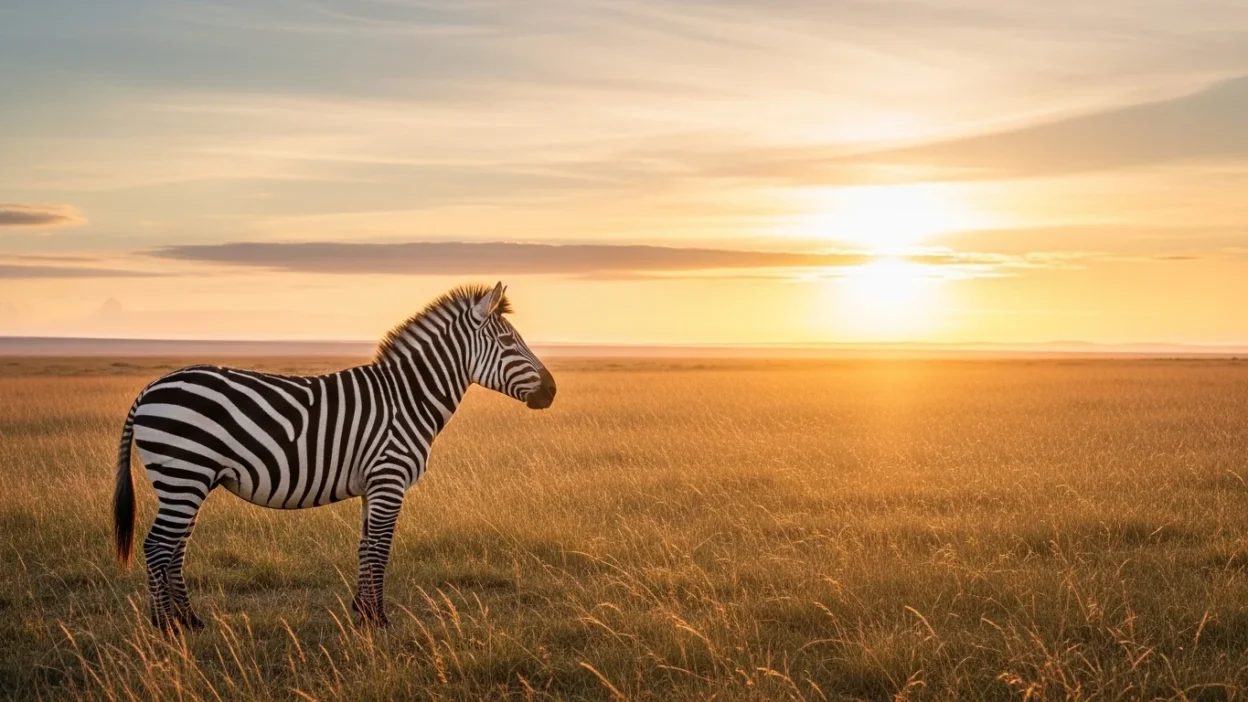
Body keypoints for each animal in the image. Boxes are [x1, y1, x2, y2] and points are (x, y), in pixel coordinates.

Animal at [112, 282, 556, 630]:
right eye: (508, 342)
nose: (552, 392)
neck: (407, 399)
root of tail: (149, 388)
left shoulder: (373, 485)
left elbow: (365, 545)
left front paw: (362, 613)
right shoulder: (389, 479)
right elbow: (380, 548)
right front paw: (380, 621)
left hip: (188, 481)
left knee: (175, 548)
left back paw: (189, 620)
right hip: (183, 475)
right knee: (157, 547)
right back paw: (166, 626)